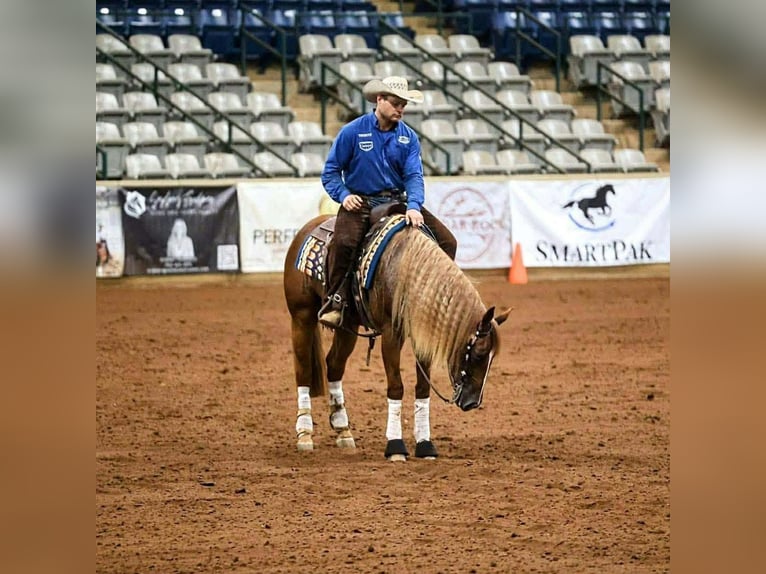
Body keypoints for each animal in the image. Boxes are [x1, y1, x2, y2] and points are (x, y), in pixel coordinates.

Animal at [283, 208, 512, 461]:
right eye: (479, 354)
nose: (472, 402)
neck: (407, 269)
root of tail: (308, 227)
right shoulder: (391, 334)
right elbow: (396, 386)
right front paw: (395, 446)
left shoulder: (423, 336)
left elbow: (422, 387)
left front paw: (425, 445)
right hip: (301, 316)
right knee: (303, 371)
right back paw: (305, 434)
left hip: (347, 326)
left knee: (333, 366)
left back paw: (343, 431)